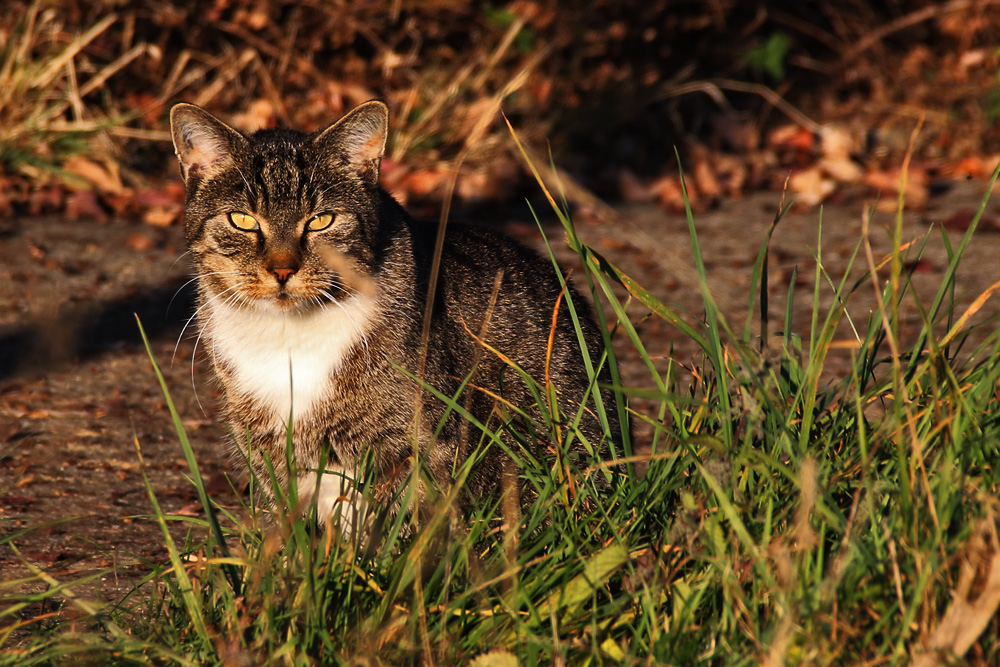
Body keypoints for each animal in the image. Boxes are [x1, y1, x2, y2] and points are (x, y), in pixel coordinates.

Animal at [171, 99, 620, 536]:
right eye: (242, 220)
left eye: (321, 221)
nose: (282, 269)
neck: (288, 336)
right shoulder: (266, 451)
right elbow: (295, 528)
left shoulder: (420, 443)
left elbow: (403, 527)